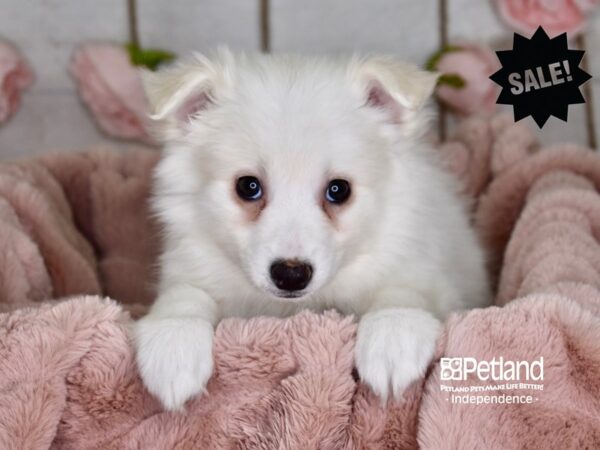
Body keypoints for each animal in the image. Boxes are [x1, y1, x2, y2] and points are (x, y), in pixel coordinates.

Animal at [134, 50, 490, 412]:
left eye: (339, 190)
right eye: (248, 186)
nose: (291, 274)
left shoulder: (423, 271)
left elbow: (402, 294)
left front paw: (393, 336)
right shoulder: (190, 268)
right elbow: (182, 298)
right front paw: (173, 346)